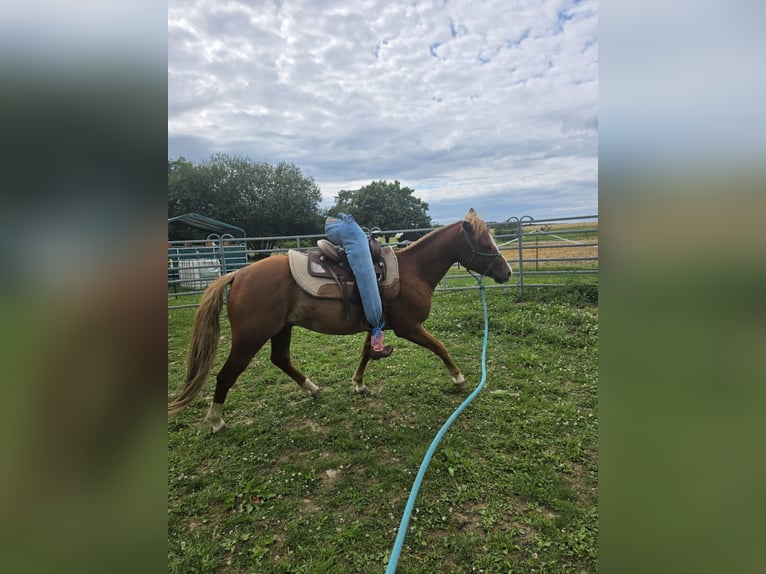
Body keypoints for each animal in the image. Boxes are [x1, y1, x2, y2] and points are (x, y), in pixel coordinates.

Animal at [168, 208, 512, 433]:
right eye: (485, 245)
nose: (507, 272)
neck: (413, 271)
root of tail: (237, 274)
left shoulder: (377, 323)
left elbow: (366, 353)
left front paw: (358, 383)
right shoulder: (409, 327)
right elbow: (439, 346)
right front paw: (458, 378)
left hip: (281, 329)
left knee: (280, 359)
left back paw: (312, 388)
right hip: (249, 337)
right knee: (226, 375)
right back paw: (216, 420)